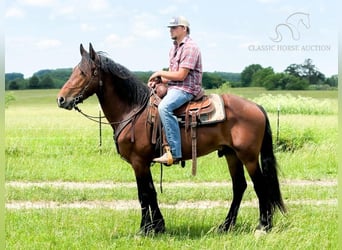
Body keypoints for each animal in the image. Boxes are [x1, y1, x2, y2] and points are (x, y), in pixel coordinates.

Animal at [56, 43, 286, 236]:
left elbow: (143, 194)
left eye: (85, 73)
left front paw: (144, 230)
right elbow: (151, 192)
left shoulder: (138, 161)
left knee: (260, 185)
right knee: (239, 186)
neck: (133, 110)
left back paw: (263, 226)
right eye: (73, 71)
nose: (61, 99)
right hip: (231, 154)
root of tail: (256, 107)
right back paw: (226, 226)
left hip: (248, 156)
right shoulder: (144, 162)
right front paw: (157, 227)